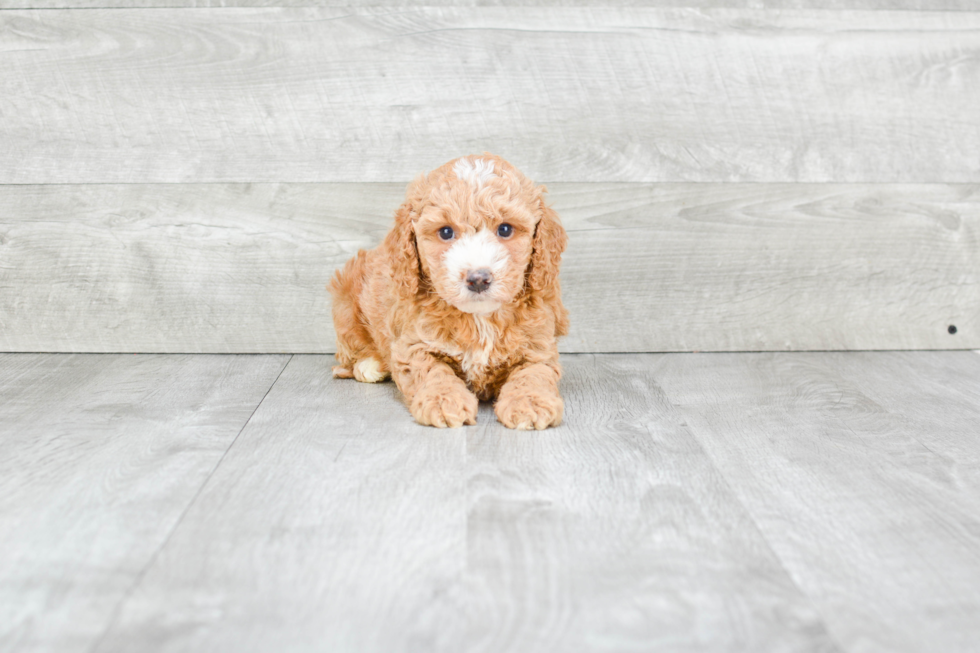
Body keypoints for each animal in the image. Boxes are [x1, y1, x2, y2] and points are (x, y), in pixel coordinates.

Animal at [332, 153, 568, 428]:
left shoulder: (537, 345)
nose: (478, 279)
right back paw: (369, 365)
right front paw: (444, 401)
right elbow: (431, 370)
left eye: (505, 229)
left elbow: (533, 372)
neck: (480, 318)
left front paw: (529, 402)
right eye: (446, 232)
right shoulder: (414, 343)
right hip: (345, 301)